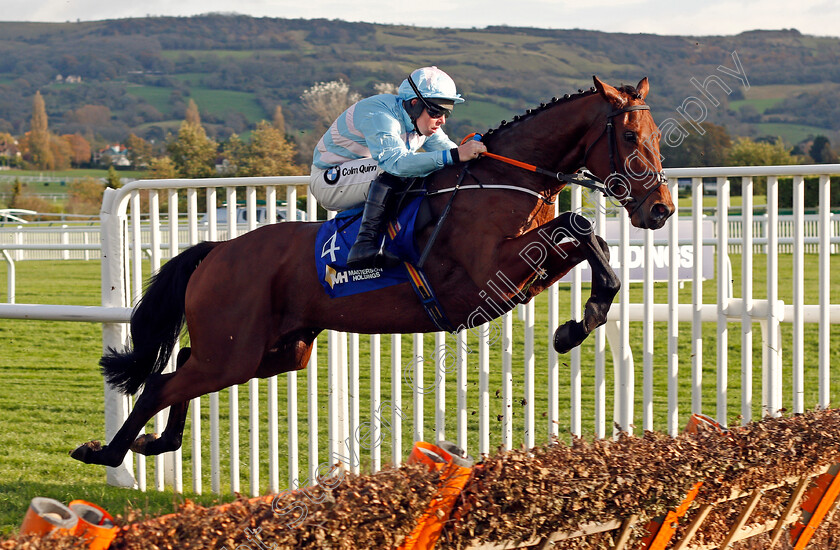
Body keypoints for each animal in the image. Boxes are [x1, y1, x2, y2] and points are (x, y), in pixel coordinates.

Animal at [70, 75, 676, 468]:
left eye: (656, 138)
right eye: (628, 137)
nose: (661, 209)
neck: (507, 180)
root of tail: (219, 249)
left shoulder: (522, 275)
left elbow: (587, 238)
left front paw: (577, 323)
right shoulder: (488, 274)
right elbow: (580, 224)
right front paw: (580, 321)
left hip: (273, 350)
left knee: (181, 367)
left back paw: (153, 443)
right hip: (237, 352)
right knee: (161, 382)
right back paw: (108, 451)